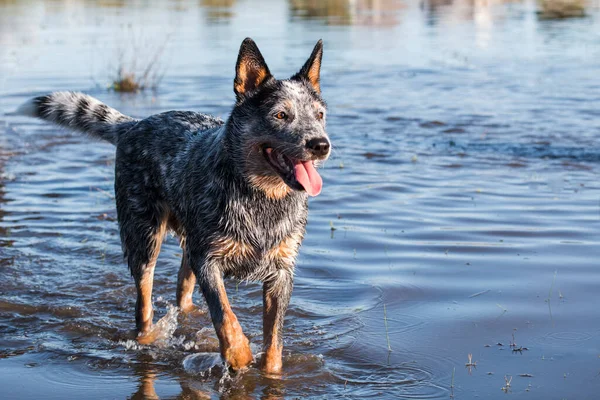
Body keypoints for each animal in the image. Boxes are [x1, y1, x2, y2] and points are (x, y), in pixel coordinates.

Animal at [17, 38, 328, 376]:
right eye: (281, 115)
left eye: (320, 114)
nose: (321, 145)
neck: (260, 197)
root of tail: (134, 125)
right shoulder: (208, 259)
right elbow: (225, 315)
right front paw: (238, 355)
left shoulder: (281, 271)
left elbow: (274, 340)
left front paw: (269, 371)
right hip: (144, 240)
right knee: (143, 304)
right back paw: (146, 338)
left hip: (189, 242)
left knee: (183, 286)